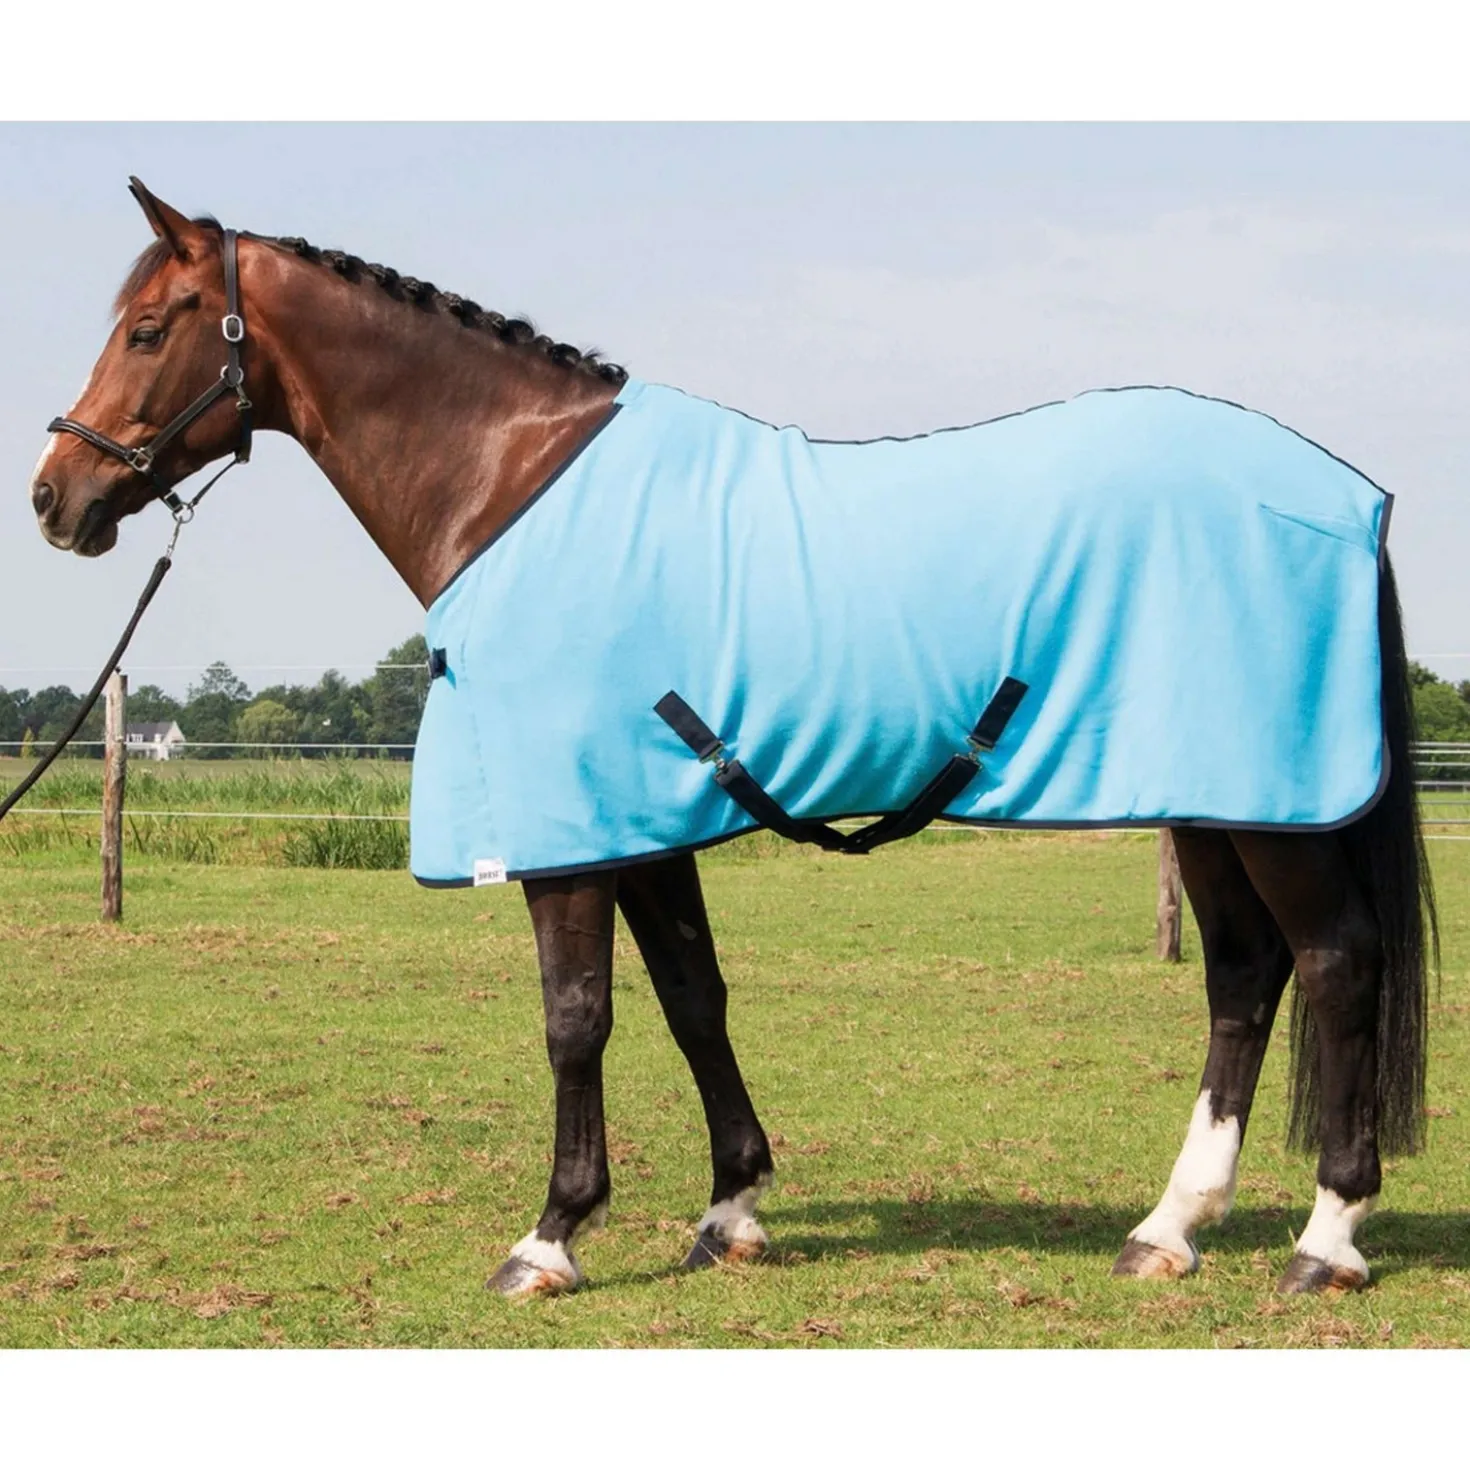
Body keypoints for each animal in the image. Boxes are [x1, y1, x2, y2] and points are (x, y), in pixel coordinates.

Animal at [27, 179, 1435, 1299]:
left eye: (148, 328)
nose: (55, 497)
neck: (508, 484)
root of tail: (1349, 493)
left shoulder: (576, 838)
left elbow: (578, 1017)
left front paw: (551, 1237)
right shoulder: (650, 815)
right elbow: (693, 997)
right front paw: (733, 1208)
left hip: (1269, 812)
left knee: (1335, 963)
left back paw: (1327, 1238)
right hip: (1213, 798)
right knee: (1244, 977)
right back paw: (1168, 1228)